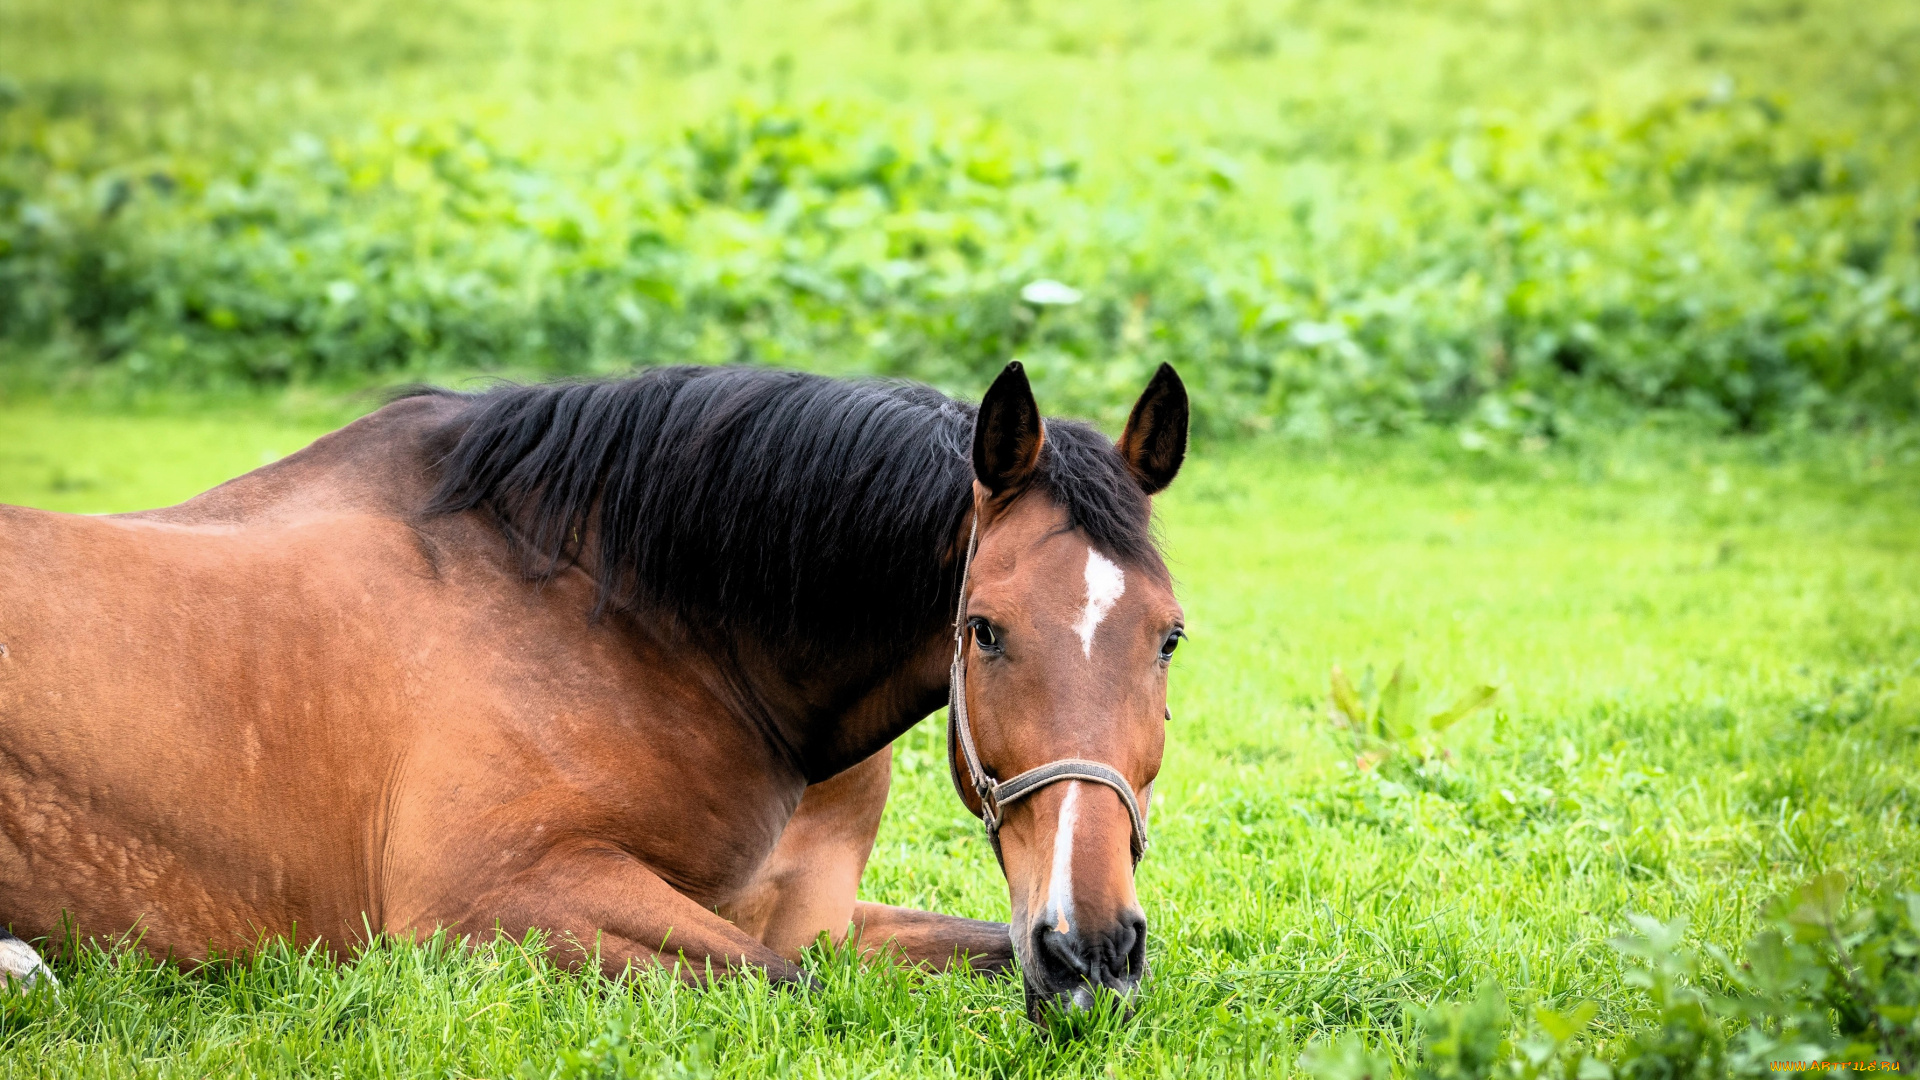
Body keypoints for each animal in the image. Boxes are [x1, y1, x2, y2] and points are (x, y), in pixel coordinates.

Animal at [0, 357, 1182, 1014]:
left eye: (1169, 638)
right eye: (984, 630)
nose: (1090, 948)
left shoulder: (816, 916)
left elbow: (945, 951)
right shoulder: (493, 904)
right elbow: (791, 988)